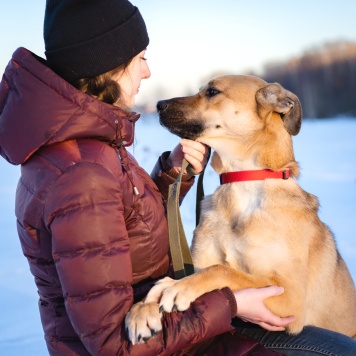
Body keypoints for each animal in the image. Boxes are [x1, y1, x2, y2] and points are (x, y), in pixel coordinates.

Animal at [125, 74, 356, 342]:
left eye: (212, 92)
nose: (159, 105)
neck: (241, 181)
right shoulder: (198, 261)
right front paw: (142, 308)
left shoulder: (291, 297)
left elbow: (224, 271)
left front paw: (177, 287)